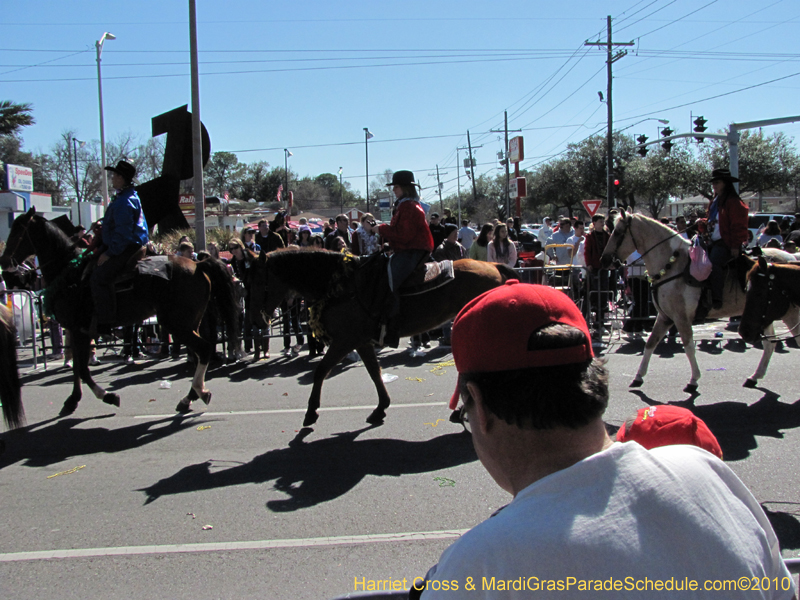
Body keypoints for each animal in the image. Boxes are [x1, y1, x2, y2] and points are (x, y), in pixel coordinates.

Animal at [1, 206, 242, 418]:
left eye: (17, 230)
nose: (4, 263)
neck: (70, 274)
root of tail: (198, 265)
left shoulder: (78, 329)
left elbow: (82, 370)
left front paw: (104, 396)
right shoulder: (78, 331)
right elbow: (79, 367)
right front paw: (74, 400)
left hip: (176, 324)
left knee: (204, 349)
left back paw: (196, 392)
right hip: (190, 322)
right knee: (203, 350)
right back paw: (190, 397)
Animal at [247, 247, 516, 426]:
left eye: (259, 282)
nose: (256, 321)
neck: (340, 285)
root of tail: (494, 267)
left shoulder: (344, 341)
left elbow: (321, 371)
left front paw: (311, 412)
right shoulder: (361, 341)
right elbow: (374, 372)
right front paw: (381, 407)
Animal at [600, 212, 800, 394]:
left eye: (618, 232)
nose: (604, 260)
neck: (672, 265)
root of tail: (791, 258)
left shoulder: (680, 318)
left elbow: (688, 347)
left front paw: (693, 380)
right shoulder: (665, 317)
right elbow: (650, 343)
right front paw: (638, 377)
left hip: (788, 314)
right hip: (764, 314)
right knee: (770, 344)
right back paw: (754, 377)